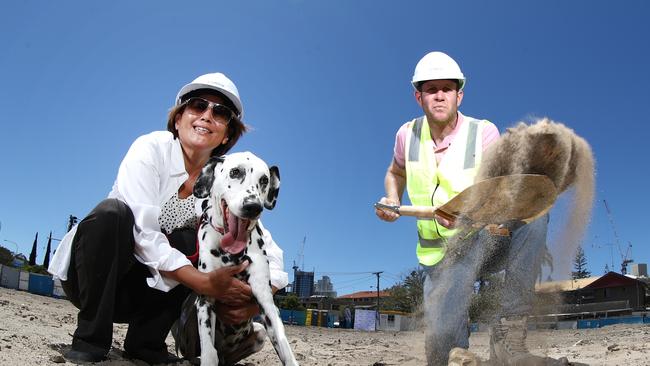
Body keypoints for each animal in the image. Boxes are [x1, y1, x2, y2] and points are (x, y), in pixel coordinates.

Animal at [192, 150, 298, 364]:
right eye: (235, 172)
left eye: (264, 180)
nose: (253, 206)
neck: (231, 254)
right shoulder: (205, 300)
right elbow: (209, 353)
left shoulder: (266, 303)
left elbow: (286, 349)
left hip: (260, 333)